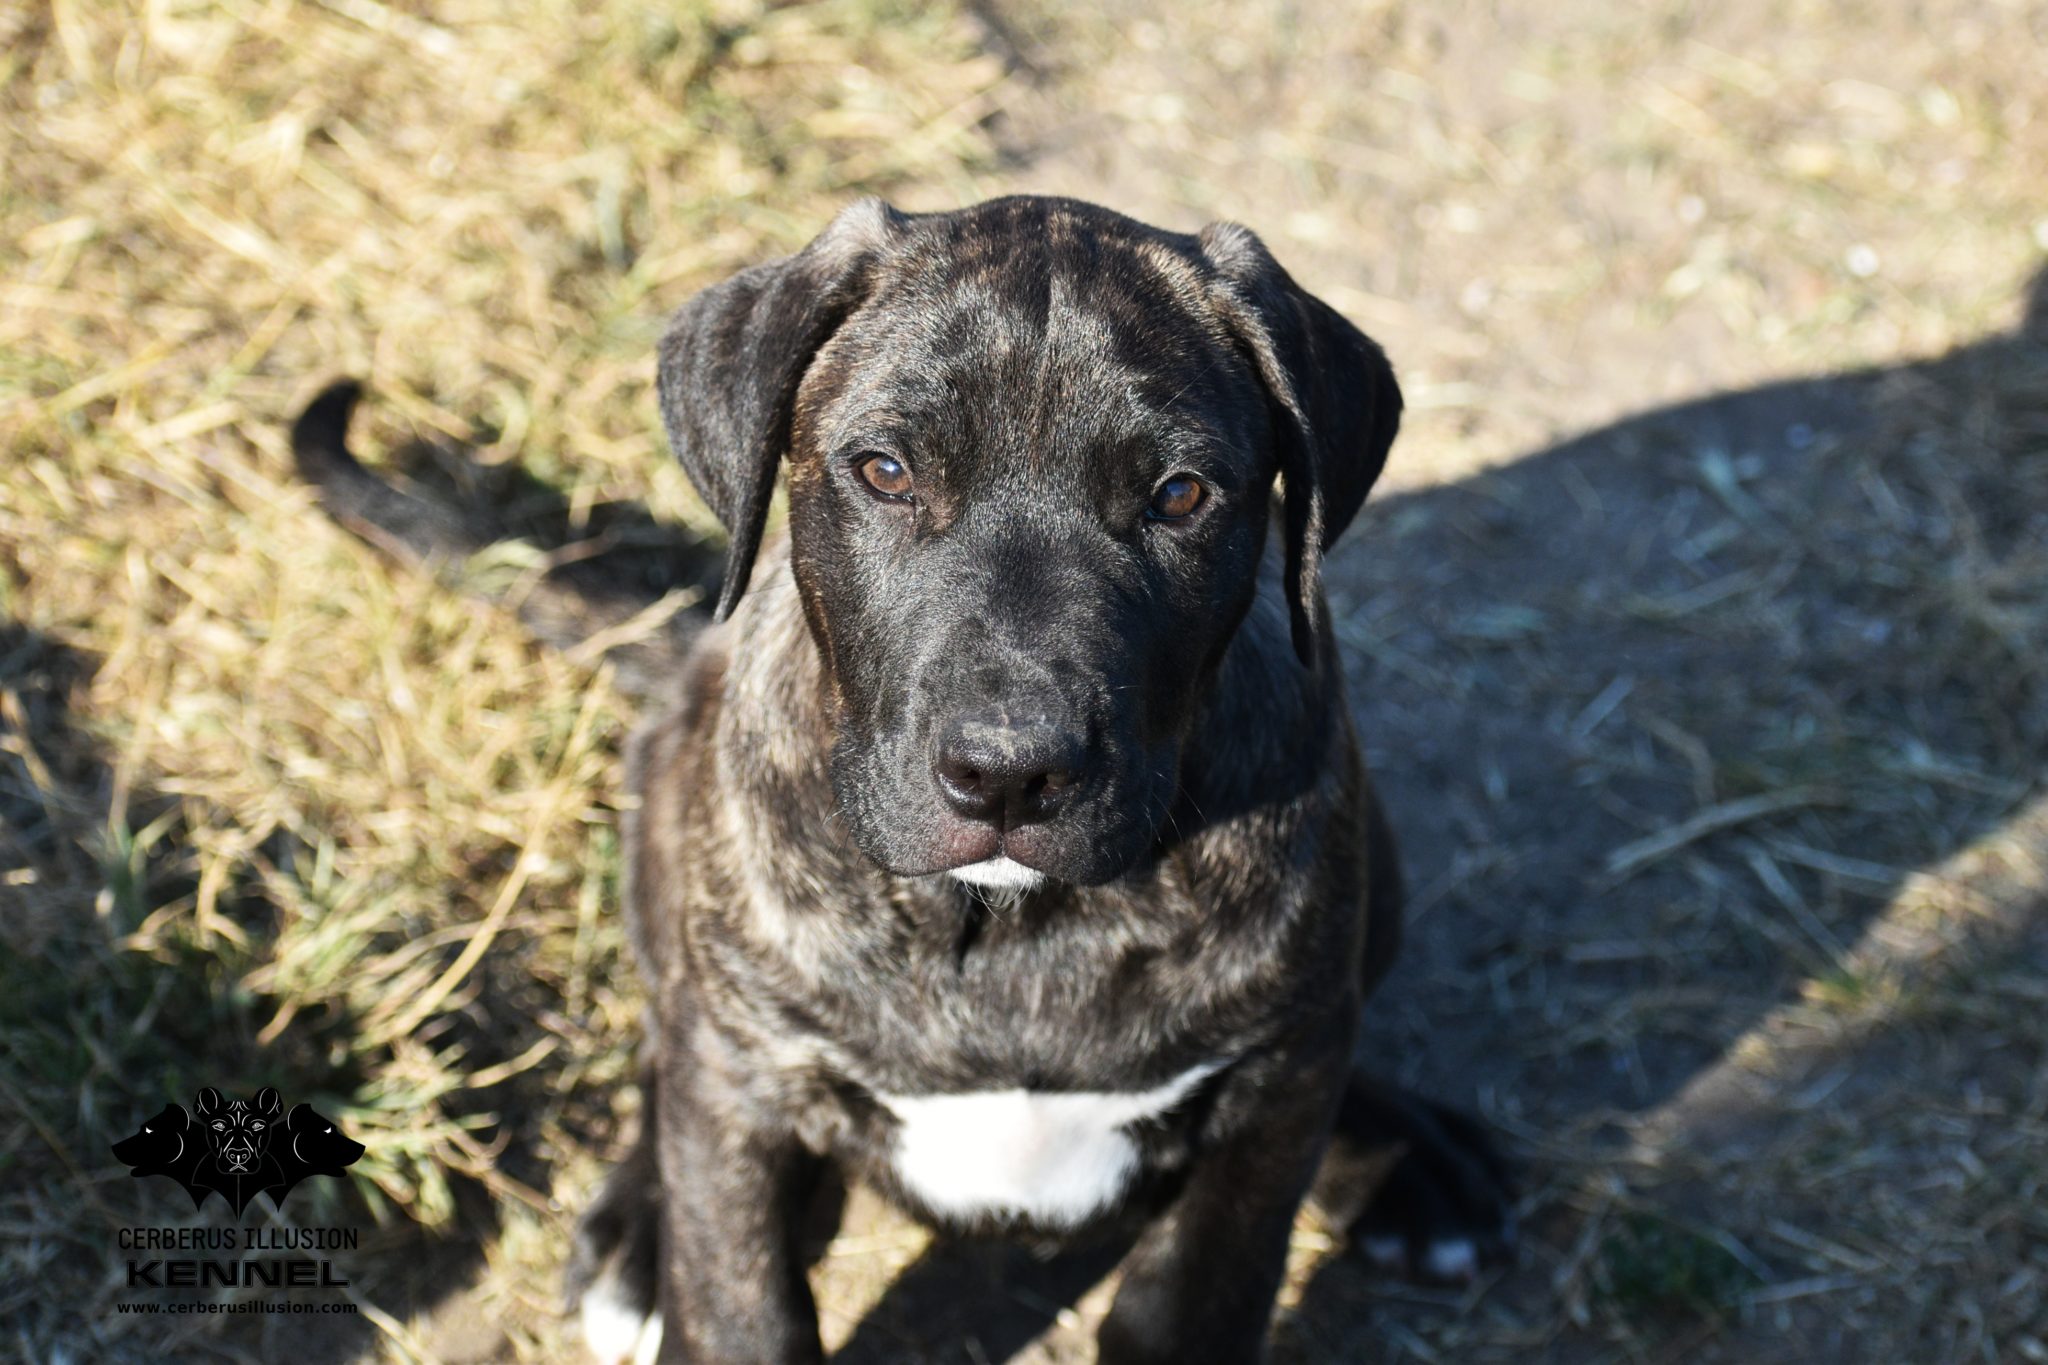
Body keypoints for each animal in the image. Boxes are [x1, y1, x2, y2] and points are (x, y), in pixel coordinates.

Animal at [292, 192, 1507, 1365]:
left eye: (1178, 495)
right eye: (884, 472)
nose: (1009, 774)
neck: (1006, 928)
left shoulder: (1260, 1121)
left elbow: (1185, 1307)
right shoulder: (744, 1085)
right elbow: (742, 1307)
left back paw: (1407, 1160)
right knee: (663, 1043)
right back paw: (639, 1236)